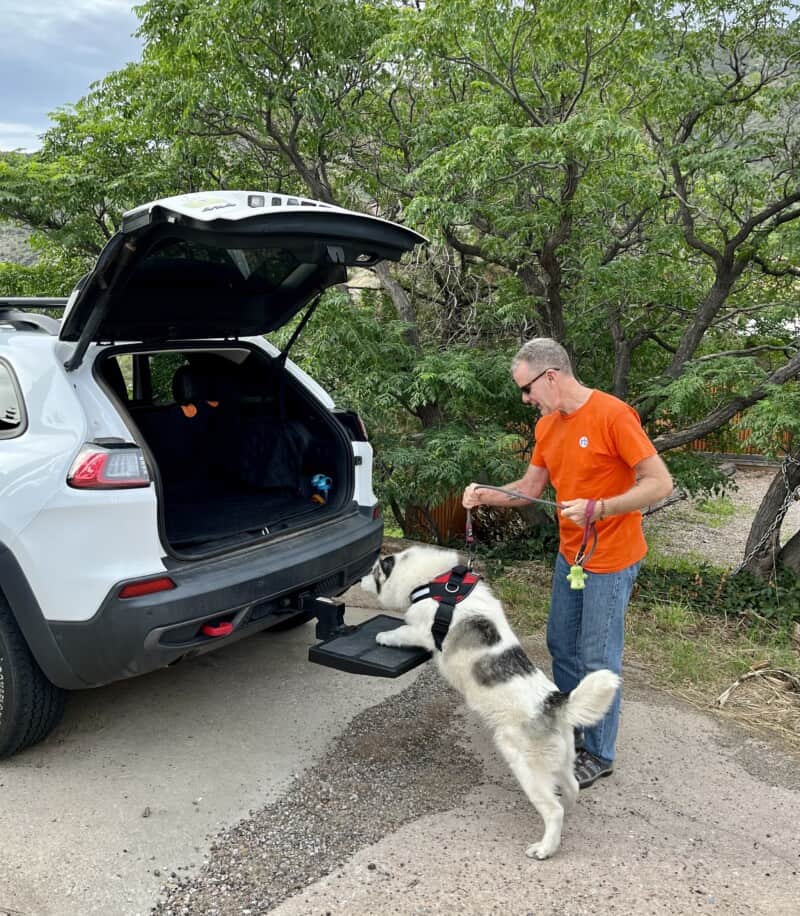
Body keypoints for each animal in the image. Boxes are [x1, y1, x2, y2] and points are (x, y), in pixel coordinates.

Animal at [360, 544, 620, 860]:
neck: (435, 581)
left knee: (553, 809)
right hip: (561, 760)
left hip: (527, 768)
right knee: (570, 790)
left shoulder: (420, 630)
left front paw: (384, 636)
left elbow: (401, 632)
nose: (358, 580)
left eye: (374, 571)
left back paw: (545, 847)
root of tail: (554, 702)